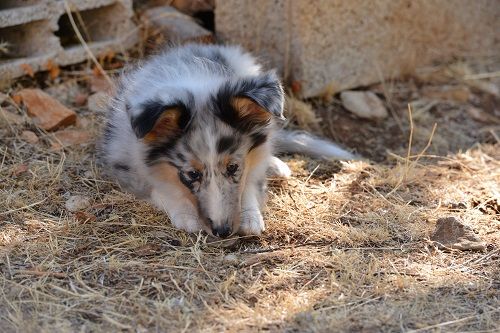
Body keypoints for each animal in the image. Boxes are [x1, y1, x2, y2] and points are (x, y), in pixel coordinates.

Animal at [98, 43, 356, 236]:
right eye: (192, 174)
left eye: (233, 167)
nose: (222, 232)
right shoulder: (126, 165)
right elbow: (161, 188)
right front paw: (186, 215)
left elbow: (250, 181)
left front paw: (250, 216)